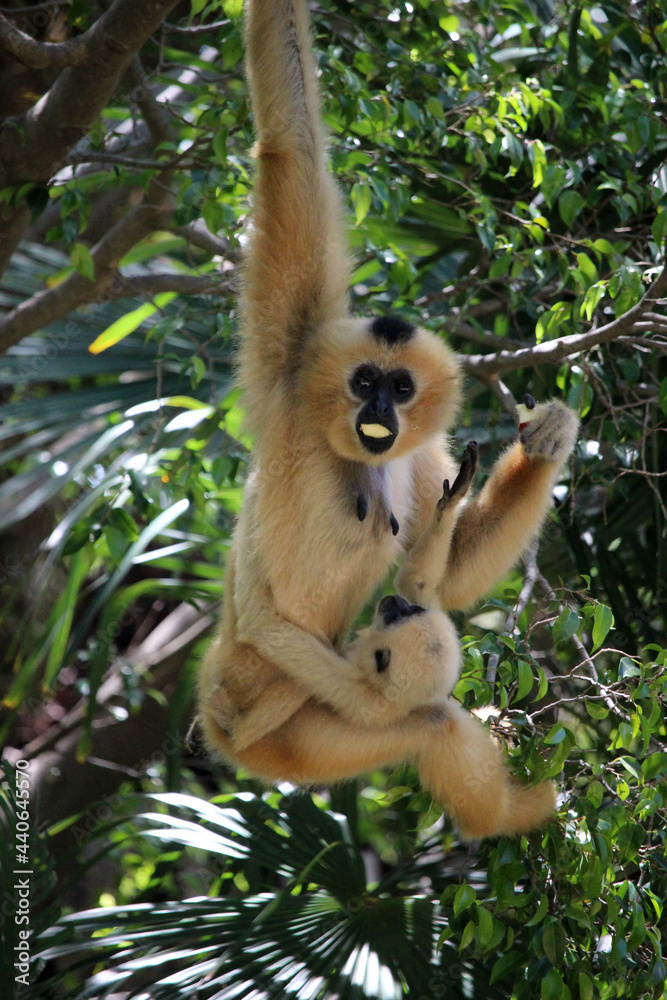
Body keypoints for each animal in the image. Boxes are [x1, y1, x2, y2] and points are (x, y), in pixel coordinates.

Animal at [194, 0, 579, 839]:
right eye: (363, 381)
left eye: (399, 388)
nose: (374, 408)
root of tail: (229, 739)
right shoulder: (291, 373)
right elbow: (291, 151)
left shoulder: (415, 450)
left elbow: (450, 576)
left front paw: (548, 442)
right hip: (272, 707)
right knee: (419, 712)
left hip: (317, 729)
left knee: (426, 717)